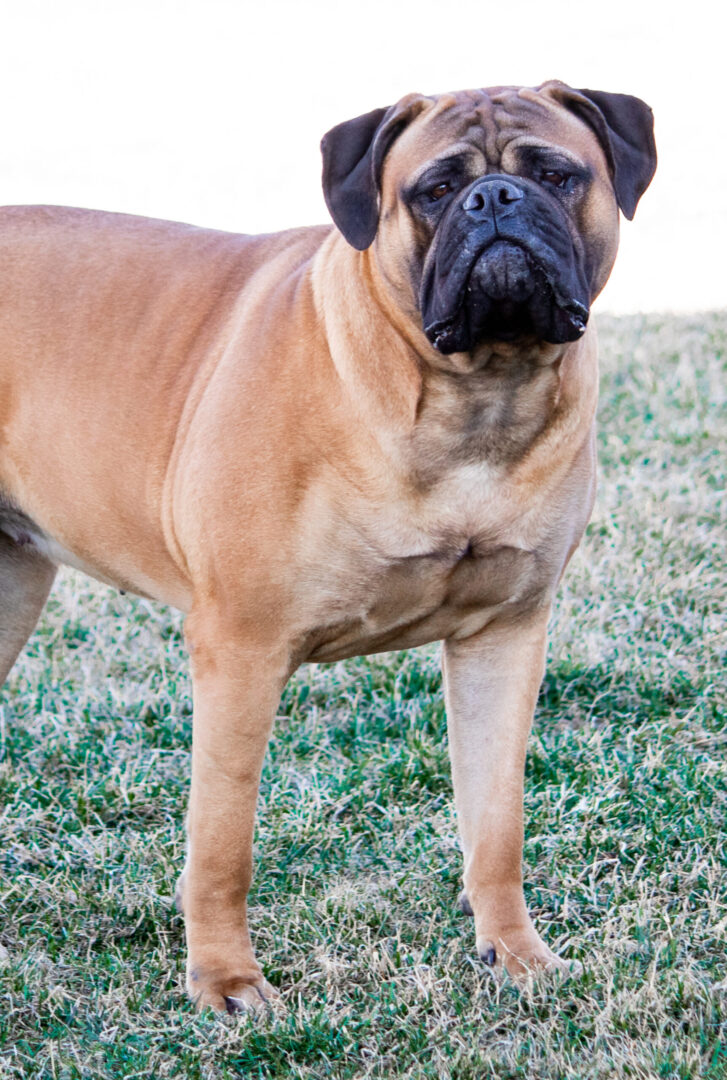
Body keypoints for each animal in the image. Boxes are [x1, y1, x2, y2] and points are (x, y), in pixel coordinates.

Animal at [0, 82, 656, 1010]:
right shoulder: (240, 649)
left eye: (557, 175)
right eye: (433, 189)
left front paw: (515, 952)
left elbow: (496, 819)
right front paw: (226, 980)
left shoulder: (507, 636)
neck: (473, 400)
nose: (495, 199)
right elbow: (222, 843)